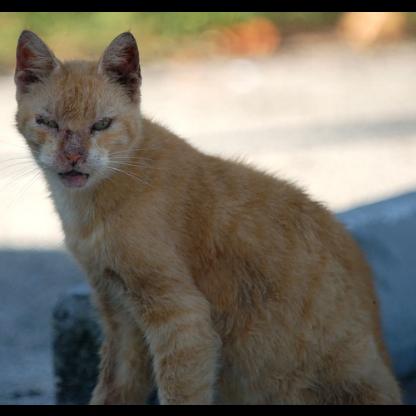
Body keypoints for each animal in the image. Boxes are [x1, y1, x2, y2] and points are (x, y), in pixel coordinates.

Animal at [14, 30, 402, 405]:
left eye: (101, 125)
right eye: (47, 122)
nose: (73, 157)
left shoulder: (182, 318)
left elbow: (179, 392)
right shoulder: (119, 314)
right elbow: (112, 389)